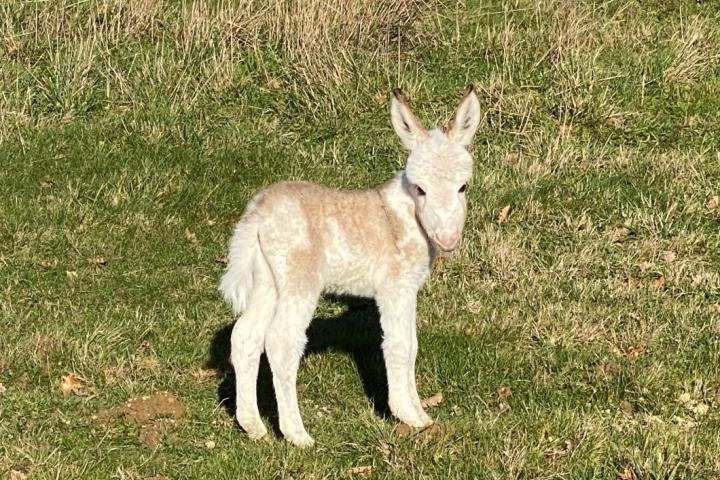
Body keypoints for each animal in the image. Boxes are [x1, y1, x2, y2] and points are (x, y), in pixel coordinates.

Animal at [218, 85, 478, 446]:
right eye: (420, 188)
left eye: (462, 187)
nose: (448, 238)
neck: (406, 217)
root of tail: (257, 212)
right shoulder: (395, 287)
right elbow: (399, 346)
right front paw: (408, 416)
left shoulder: (409, 289)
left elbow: (412, 344)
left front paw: (421, 415)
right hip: (299, 279)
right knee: (282, 342)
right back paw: (298, 435)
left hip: (267, 280)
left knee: (246, 336)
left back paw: (253, 426)